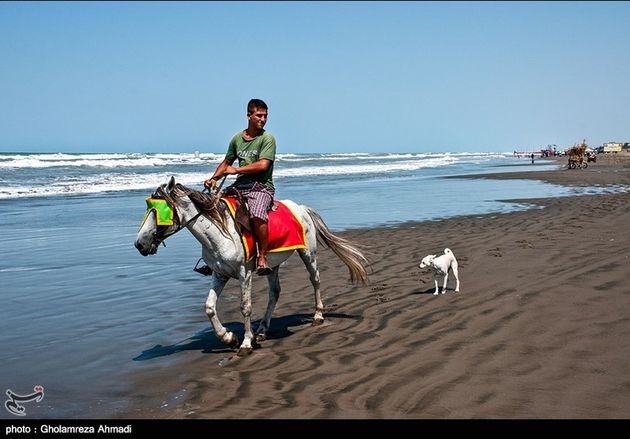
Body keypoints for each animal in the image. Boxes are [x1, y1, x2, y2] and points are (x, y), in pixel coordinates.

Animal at [134, 177, 370, 356]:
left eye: (159, 211)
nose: (140, 244)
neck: (220, 232)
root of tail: (301, 208)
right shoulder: (219, 274)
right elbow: (209, 306)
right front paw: (228, 337)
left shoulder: (243, 273)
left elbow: (245, 307)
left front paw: (246, 343)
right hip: (273, 265)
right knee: (275, 292)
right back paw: (263, 330)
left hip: (308, 254)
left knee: (315, 279)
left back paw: (318, 316)